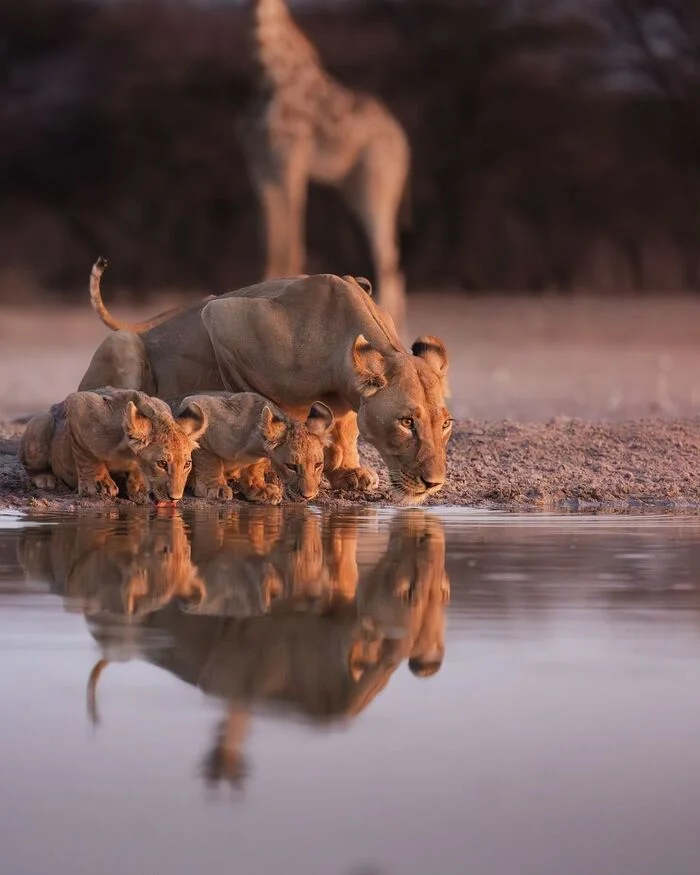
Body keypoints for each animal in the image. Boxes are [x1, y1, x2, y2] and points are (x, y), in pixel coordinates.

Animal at [237, 0, 410, 334]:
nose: (255, 7)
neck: (265, 70)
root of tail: (400, 138)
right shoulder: (259, 165)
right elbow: (270, 242)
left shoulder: (291, 159)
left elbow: (290, 241)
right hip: (353, 188)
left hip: (375, 187)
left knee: (388, 259)